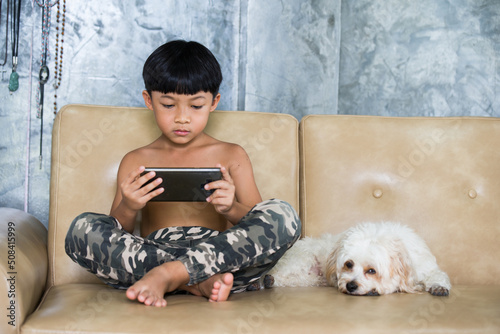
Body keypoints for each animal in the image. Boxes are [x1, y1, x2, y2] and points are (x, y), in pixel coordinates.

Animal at [268, 223, 452, 296]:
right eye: (348, 264)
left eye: (371, 271)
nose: (350, 286)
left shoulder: (426, 267)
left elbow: (437, 275)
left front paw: (439, 287)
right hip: (301, 261)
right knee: (279, 275)